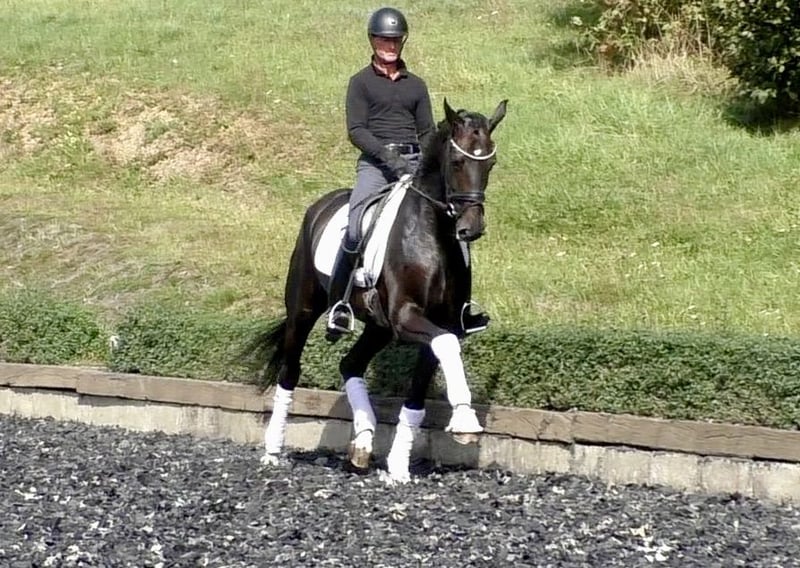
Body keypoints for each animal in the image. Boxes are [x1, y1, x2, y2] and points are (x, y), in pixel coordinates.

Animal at [247, 98, 507, 482]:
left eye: (490, 162)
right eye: (458, 162)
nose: (470, 229)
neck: (432, 236)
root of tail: (320, 206)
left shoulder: (439, 323)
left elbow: (420, 390)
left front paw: (398, 466)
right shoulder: (406, 317)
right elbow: (445, 347)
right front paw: (465, 420)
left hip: (378, 326)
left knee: (350, 364)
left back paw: (364, 442)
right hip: (303, 310)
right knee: (290, 371)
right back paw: (273, 450)